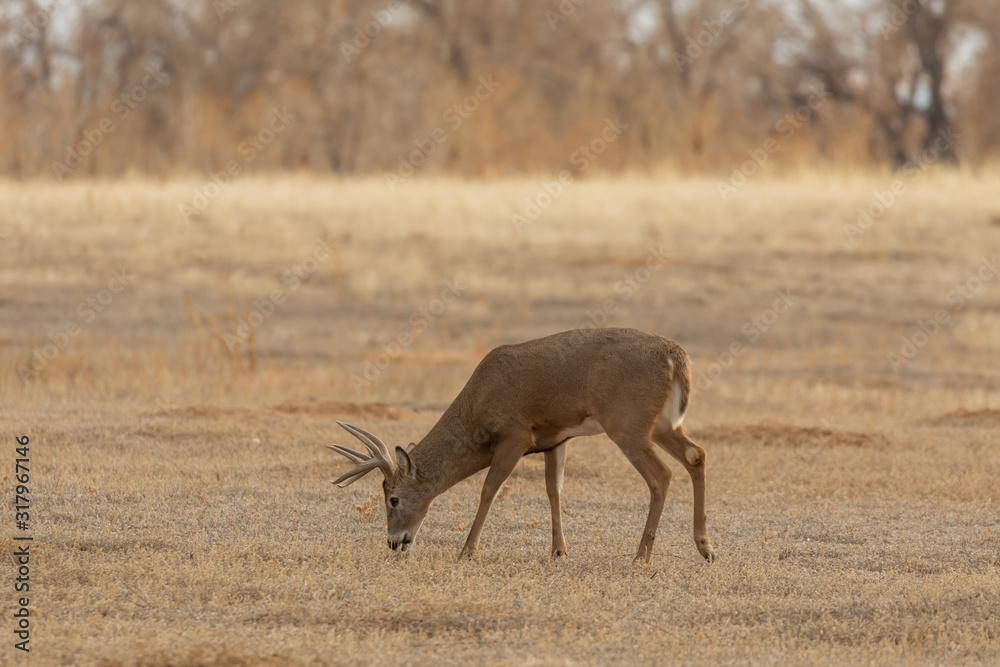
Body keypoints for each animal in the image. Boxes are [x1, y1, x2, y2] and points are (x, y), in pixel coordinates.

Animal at [327, 327, 715, 564]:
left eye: (392, 498)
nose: (394, 542)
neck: (476, 408)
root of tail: (677, 358)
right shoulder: (555, 439)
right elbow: (553, 489)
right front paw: (558, 550)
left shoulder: (515, 435)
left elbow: (489, 489)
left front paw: (467, 551)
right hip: (661, 424)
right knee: (696, 454)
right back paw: (705, 546)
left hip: (627, 424)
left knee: (661, 475)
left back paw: (640, 556)